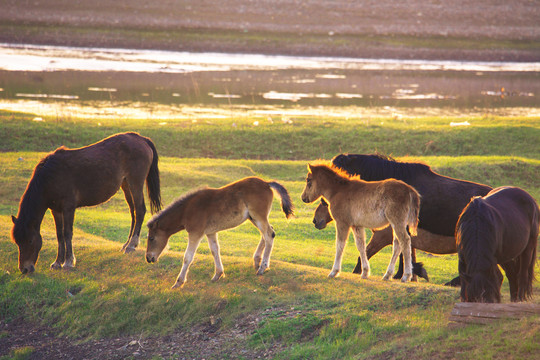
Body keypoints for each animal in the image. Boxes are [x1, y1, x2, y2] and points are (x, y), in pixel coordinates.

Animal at [10, 132, 161, 272]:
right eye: (17, 242)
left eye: (30, 240)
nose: (25, 269)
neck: (50, 178)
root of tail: (140, 138)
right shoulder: (56, 210)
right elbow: (59, 235)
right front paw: (58, 262)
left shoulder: (68, 208)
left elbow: (67, 233)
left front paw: (68, 262)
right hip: (126, 185)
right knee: (133, 212)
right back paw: (126, 244)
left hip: (135, 183)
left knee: (140, 210)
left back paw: (131, 245)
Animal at [146, 177, 294, 290]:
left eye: (152, 238)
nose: (149, 258)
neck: (186, 210)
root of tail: (266, 183)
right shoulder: (210, 233)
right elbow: (214, 250)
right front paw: (218, 275)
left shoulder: (195, 233)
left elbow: (188, 257)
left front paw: (178, 282)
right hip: (253, 217)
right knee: (268, 232)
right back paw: (257, 261)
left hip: (258, 216)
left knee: (269, 234)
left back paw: (262, 268)